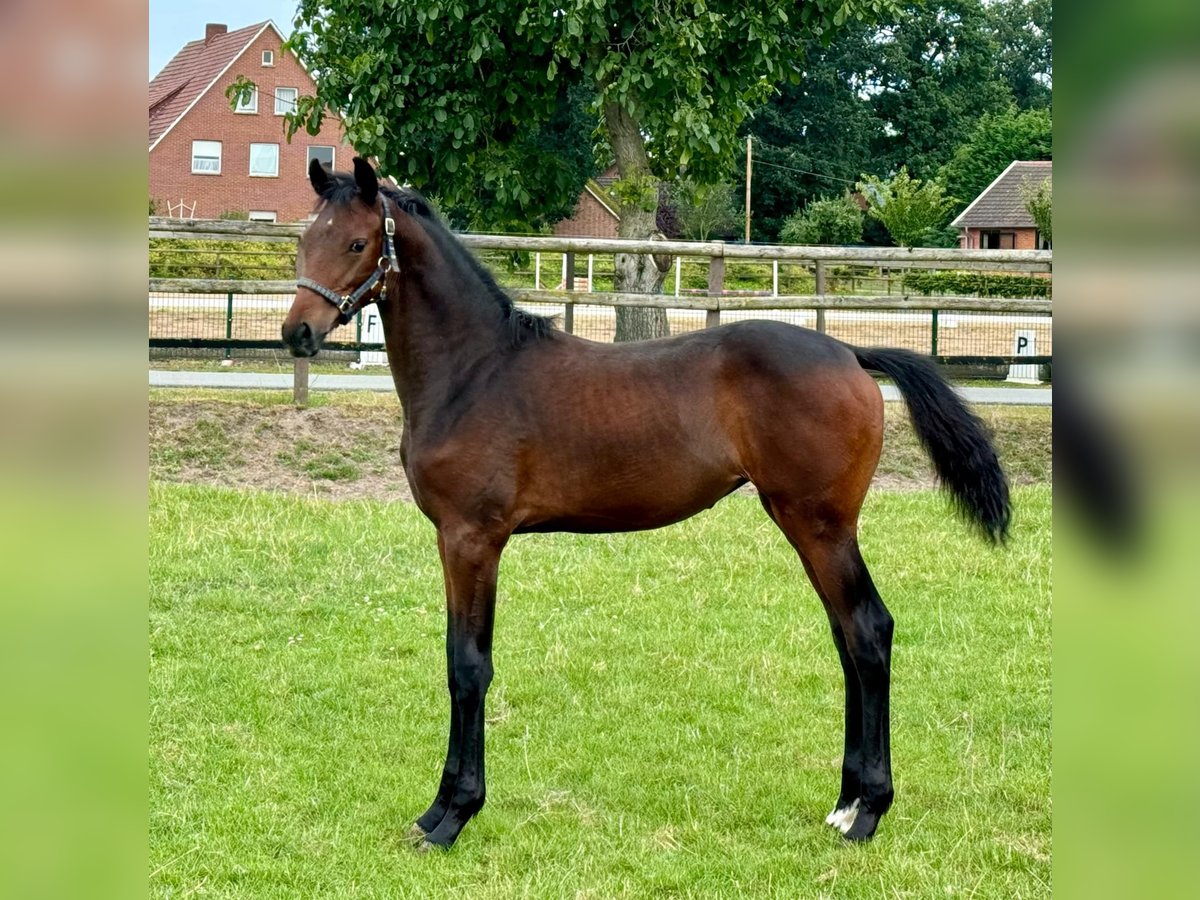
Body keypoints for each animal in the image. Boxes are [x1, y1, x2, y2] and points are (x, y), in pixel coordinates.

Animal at [285, 160, 1008, 854]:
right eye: (304, 239)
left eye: (356, 242)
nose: (297, 333)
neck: (474, 372)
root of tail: (850, 353)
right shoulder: (457, 540)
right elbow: (457, 661)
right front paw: (437, 811)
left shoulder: (472, 538)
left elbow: (468, 667)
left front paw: (452, 816)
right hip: (811, 527)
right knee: (846, 638)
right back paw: (844, 805)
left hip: (820, 525)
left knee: (867, 631)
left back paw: (869, 813)